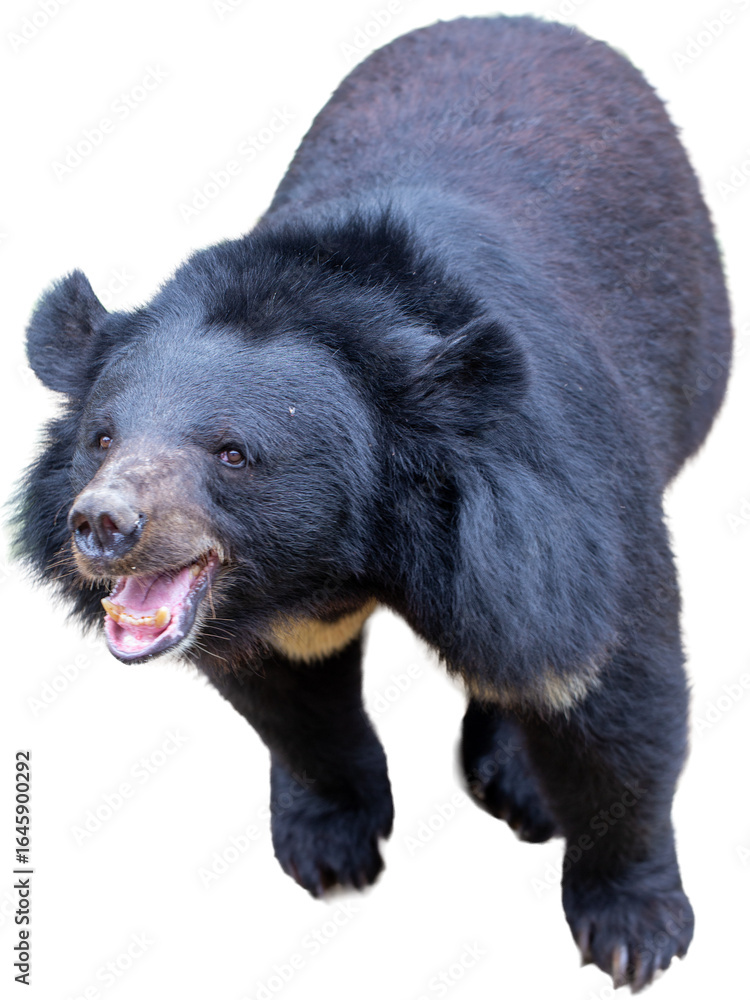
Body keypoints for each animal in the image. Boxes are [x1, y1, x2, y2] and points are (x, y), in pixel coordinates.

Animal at [13, 14, 731, 993]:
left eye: (233, 453)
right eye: (102, 438)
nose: (103, 524)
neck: (354, 543)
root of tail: (523, 20)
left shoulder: (544, 504)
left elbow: (609, 688)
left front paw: (634, 930)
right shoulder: (274, 610)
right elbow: (294, 705)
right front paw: (331, 846)